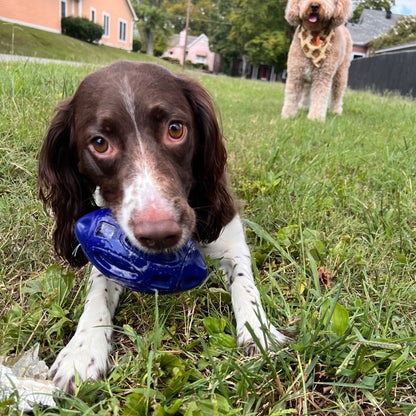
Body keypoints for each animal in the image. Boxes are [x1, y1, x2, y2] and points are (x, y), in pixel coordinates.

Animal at [38, 61, 286, 394]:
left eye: (175, 129)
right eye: (100, 143)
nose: (158, 234)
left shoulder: (231, 242)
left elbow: (246, 286)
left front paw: (259, 331)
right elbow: (98, 292)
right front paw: (82, 350)